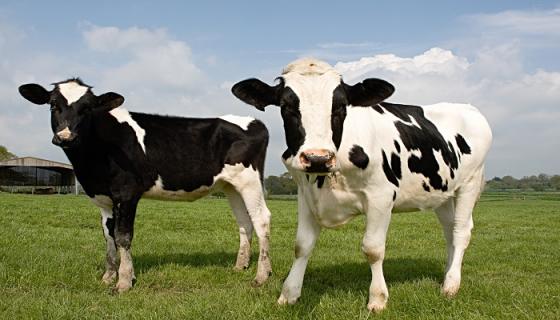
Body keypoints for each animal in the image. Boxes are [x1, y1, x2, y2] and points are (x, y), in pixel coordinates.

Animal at [21, 78, 274, 292]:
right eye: (53, 105)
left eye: (87, 108)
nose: (66, 136)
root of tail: (254, 121)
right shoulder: (104, 199)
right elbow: (108, 236)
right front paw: (108, 276)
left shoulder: (127, 193)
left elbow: (123, 236)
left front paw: (124, 281)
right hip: (232, 187)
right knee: (245, 222)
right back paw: (239, 266)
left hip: (250, 181)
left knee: (261, 219)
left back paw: (262, 275)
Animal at [232, 58, 490, 312]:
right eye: (286, 107)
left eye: (340, 106)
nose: (317, 158)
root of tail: (468, 108)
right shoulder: (305, 194)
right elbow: (302, 245)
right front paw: (289, 294)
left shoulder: (381, 197)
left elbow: (373, 249)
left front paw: (378, 298)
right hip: (442, 193)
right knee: (449, 231)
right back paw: (447, 275)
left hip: (469, 183)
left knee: (461, 232)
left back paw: (451, 285)